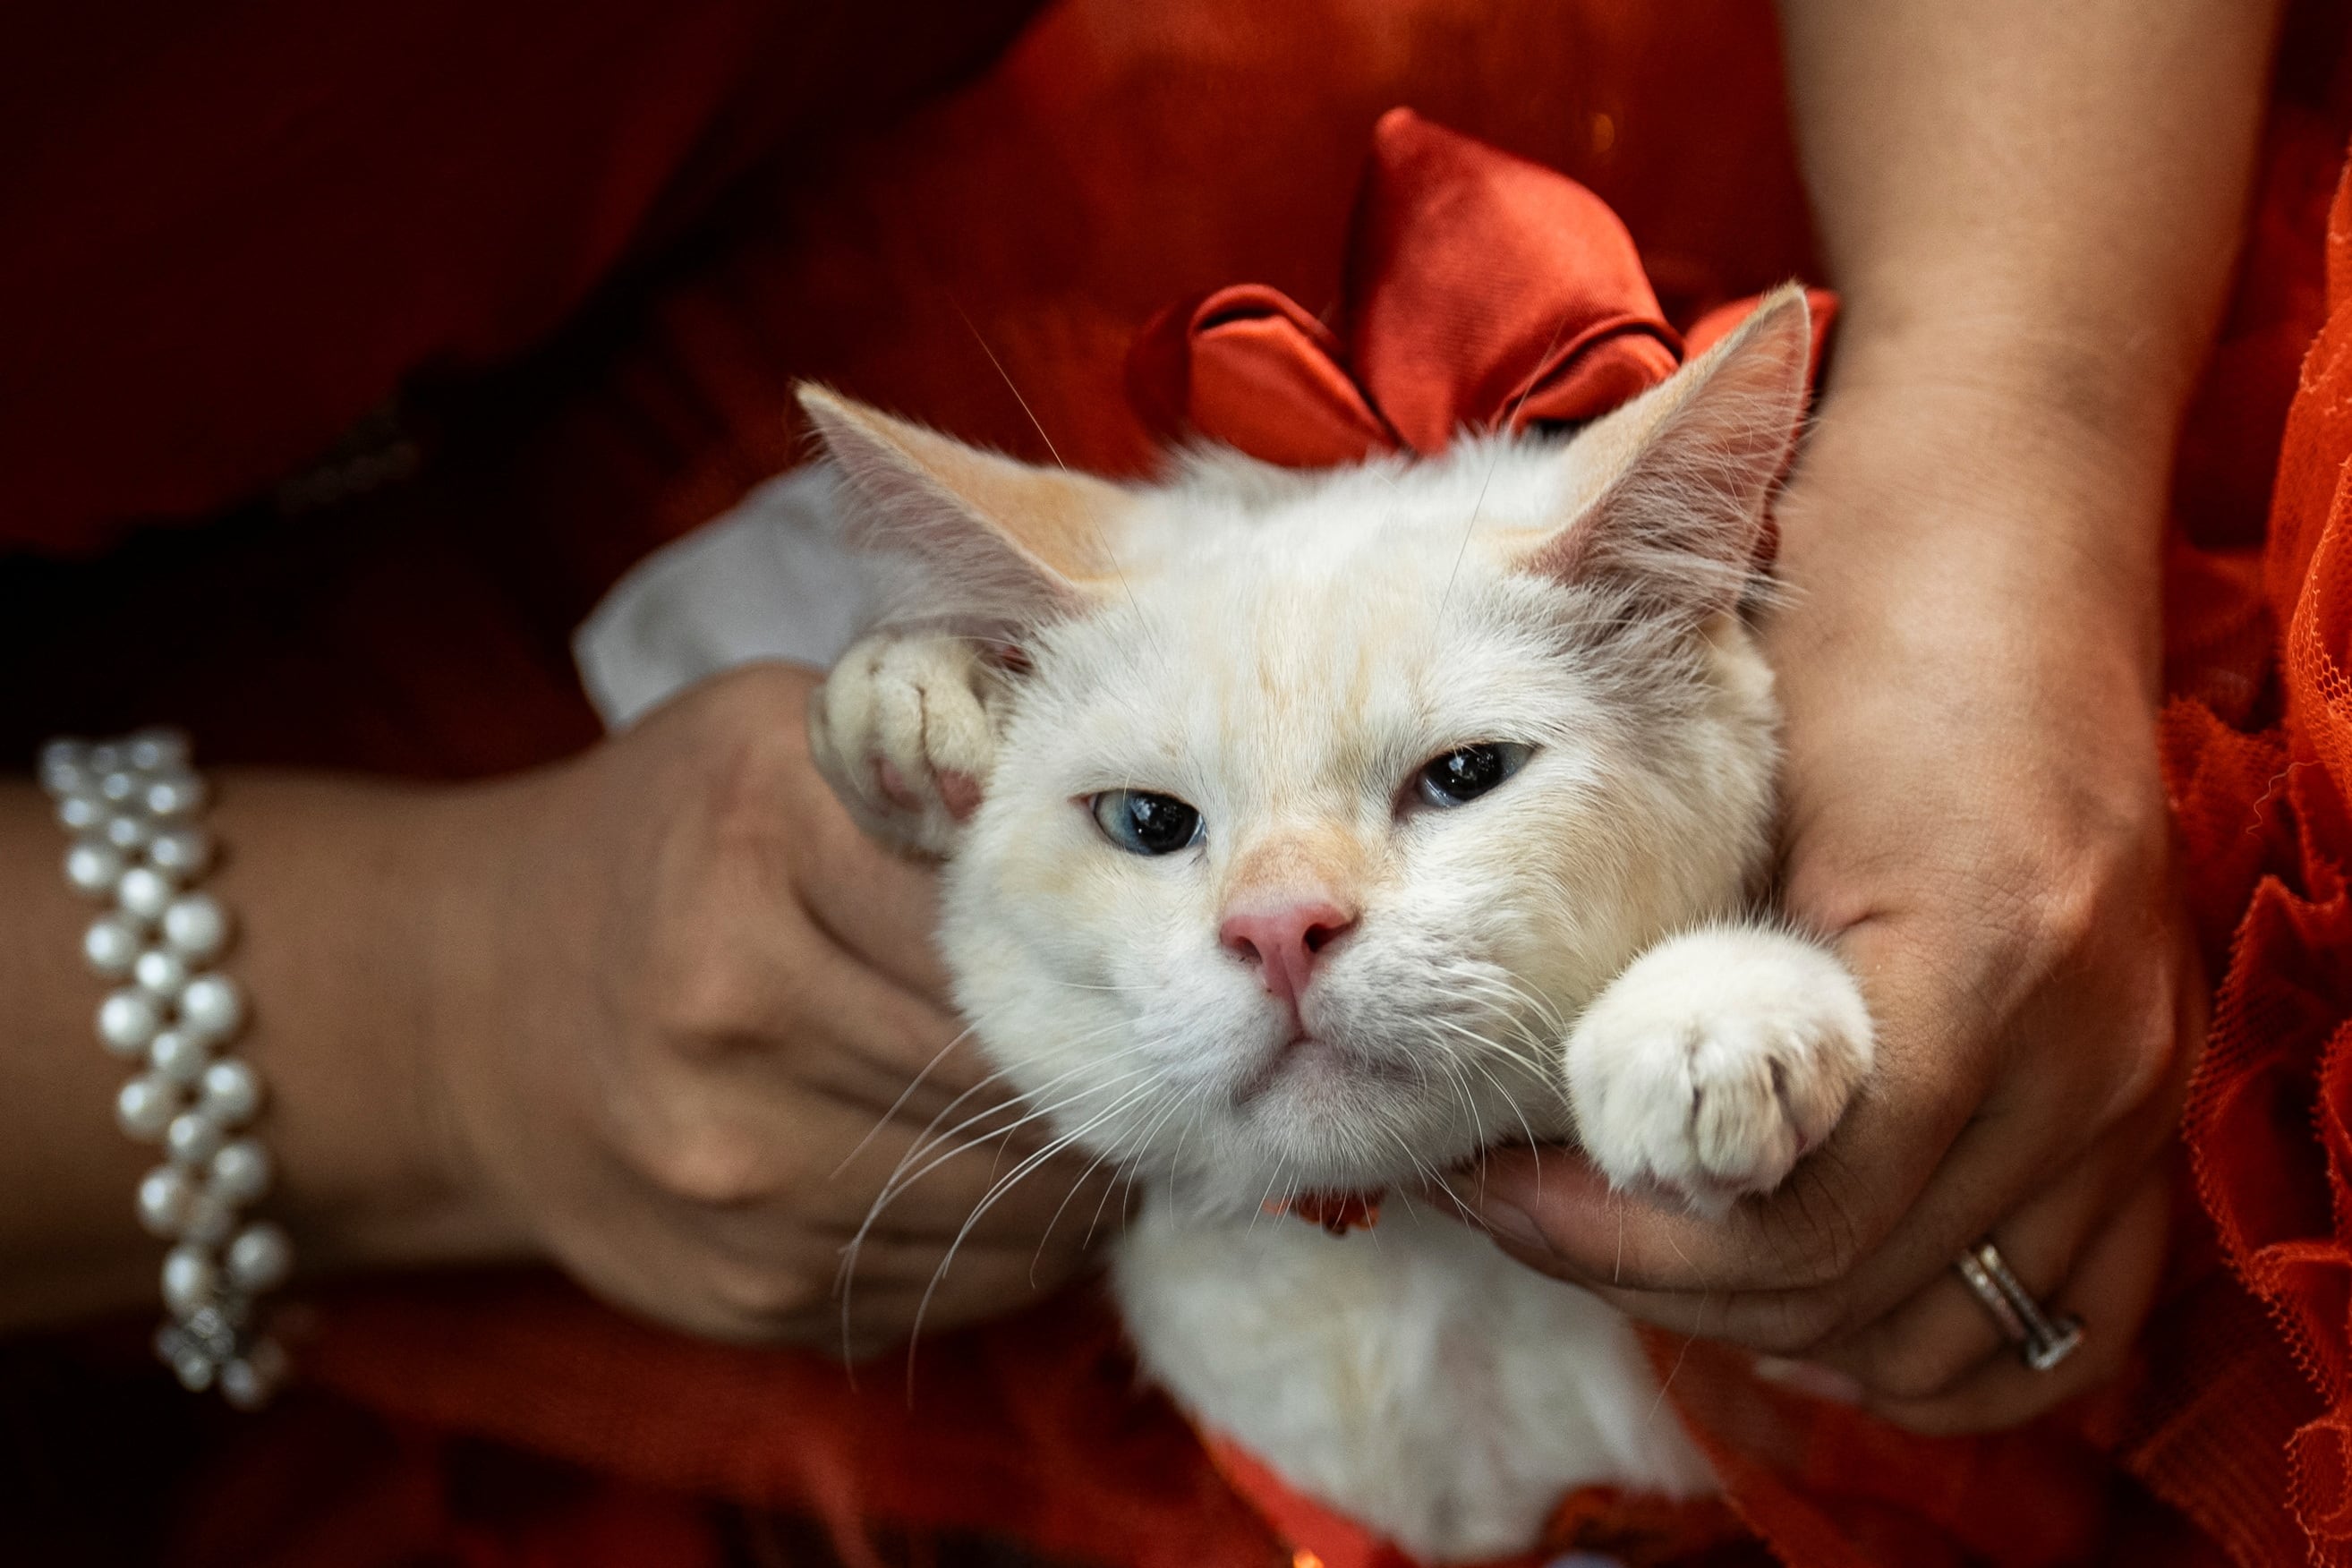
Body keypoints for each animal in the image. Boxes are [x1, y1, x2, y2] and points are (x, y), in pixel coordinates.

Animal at [799, 287, 1862, 1561]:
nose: (1279, 927)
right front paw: (910, 698)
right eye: (1149, 820)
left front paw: (1717, 1009)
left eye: (1466, 774)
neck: (1418, 1283)